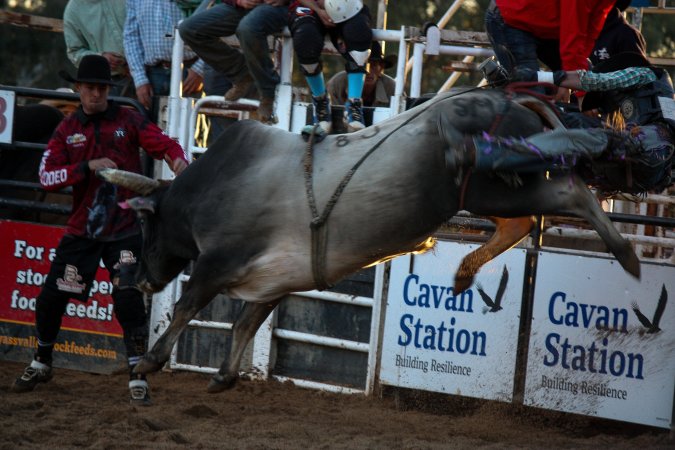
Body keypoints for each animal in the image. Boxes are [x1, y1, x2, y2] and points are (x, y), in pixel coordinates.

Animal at [99, 88, 640, 393]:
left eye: (146, 227)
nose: (141, 280)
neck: (214, 187)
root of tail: (509, 98)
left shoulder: (216, 263)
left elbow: (188, 306)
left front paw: (149, 361)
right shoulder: (274, 282)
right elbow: (244, 325)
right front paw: (224, 377)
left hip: (488, 184)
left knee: (567, 192)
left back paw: (628, 254)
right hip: (487, 193)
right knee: (522, 222)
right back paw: (464, 273)